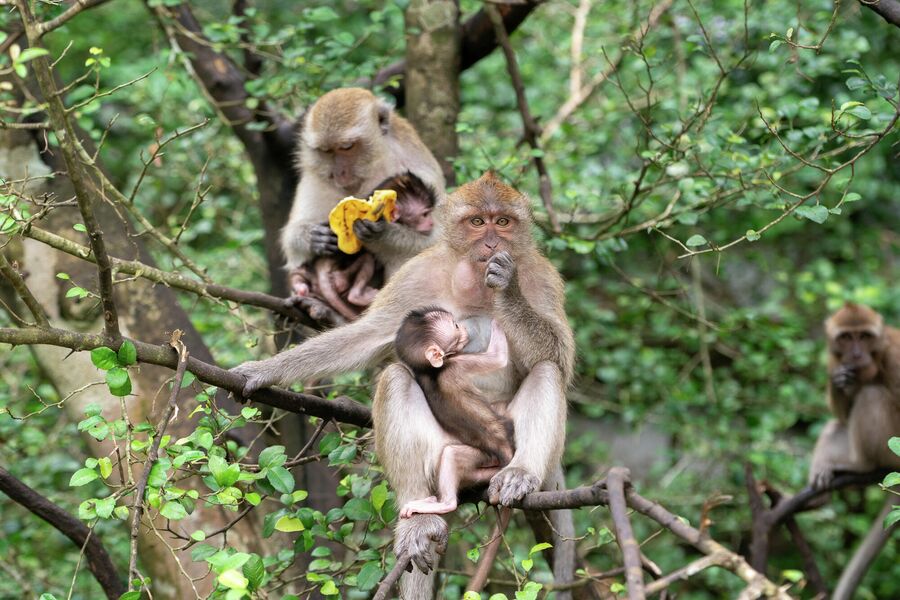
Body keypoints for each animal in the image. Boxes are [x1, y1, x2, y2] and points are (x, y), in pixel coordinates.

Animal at [394, 308, 512, 516]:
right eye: (455, 326)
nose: (463, 328)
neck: (429, 370)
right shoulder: (459, 363)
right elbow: (499, 358)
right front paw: (496, 321)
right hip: (485, 456)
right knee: (451, 455)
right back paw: (445, 503)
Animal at [808, 302, 900, 490]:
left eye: (865, 336)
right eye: (846, 337)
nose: (856, 355)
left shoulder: (895, 355)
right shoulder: (833, 360)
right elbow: (843, 416)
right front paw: (838, 380)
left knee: (871, 395)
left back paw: (862, 465)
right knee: (835, 425)